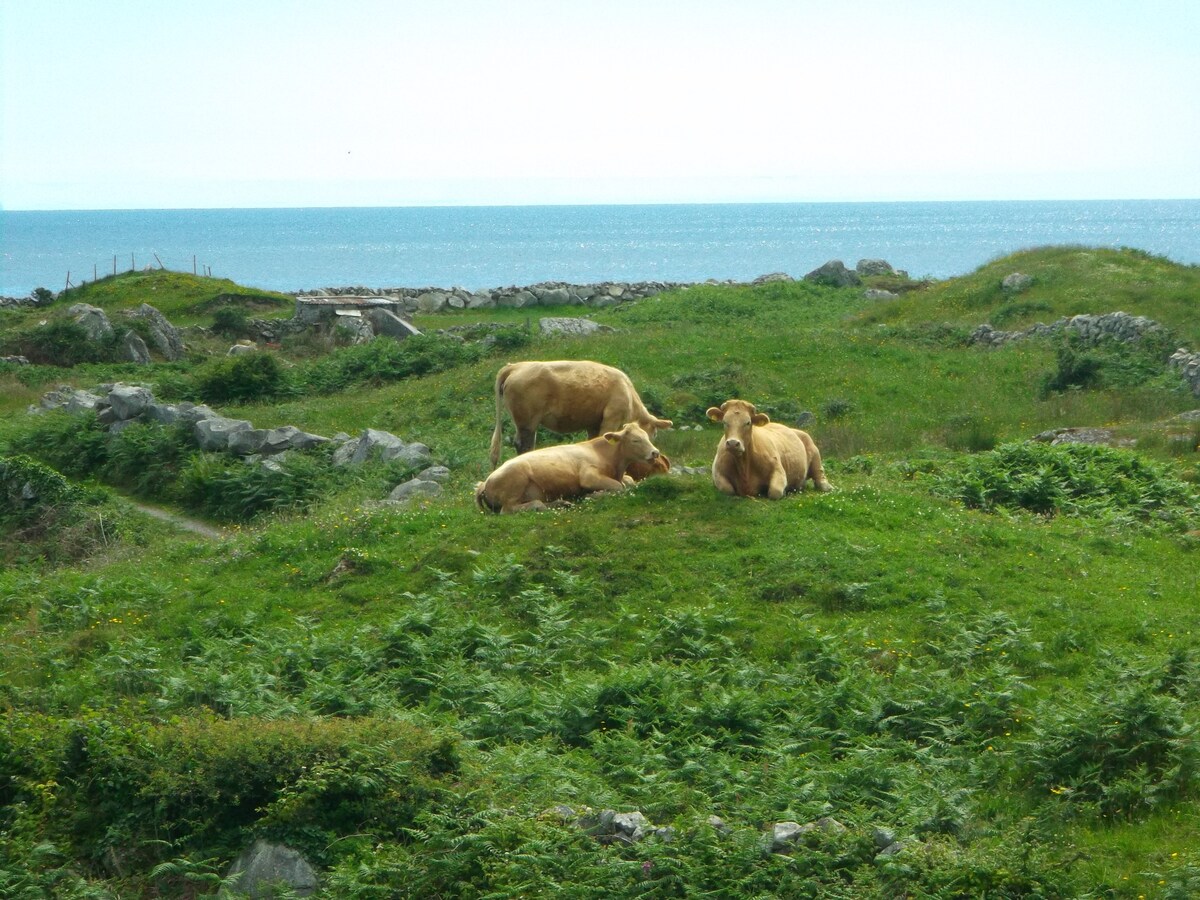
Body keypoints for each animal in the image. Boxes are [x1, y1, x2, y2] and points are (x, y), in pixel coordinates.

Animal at [475, 422, 667, 513]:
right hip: (515, 484)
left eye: (646, 436)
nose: (655, 453)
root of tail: (484, 482)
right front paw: (592, 496)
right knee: (511, 509)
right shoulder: (588, 476)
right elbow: (619, 487)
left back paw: (562, 502)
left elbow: (628, 482)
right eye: (635, 440)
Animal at [489, 362, 676, 472]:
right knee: (523, 445)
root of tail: (515, 366)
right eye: (654, 433)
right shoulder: (612, 417)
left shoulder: (593, 423)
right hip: (527, 421)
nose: (655, 454)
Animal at [700, 400, 835, 501]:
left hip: (814, 450)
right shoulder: (717, 473)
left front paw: (783, 491)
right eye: (724, 421)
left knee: (819, 475)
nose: (733, 443)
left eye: (748, 422)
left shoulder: (779, 471)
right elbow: (728, 490)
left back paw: (827, 487)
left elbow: (775, 492)